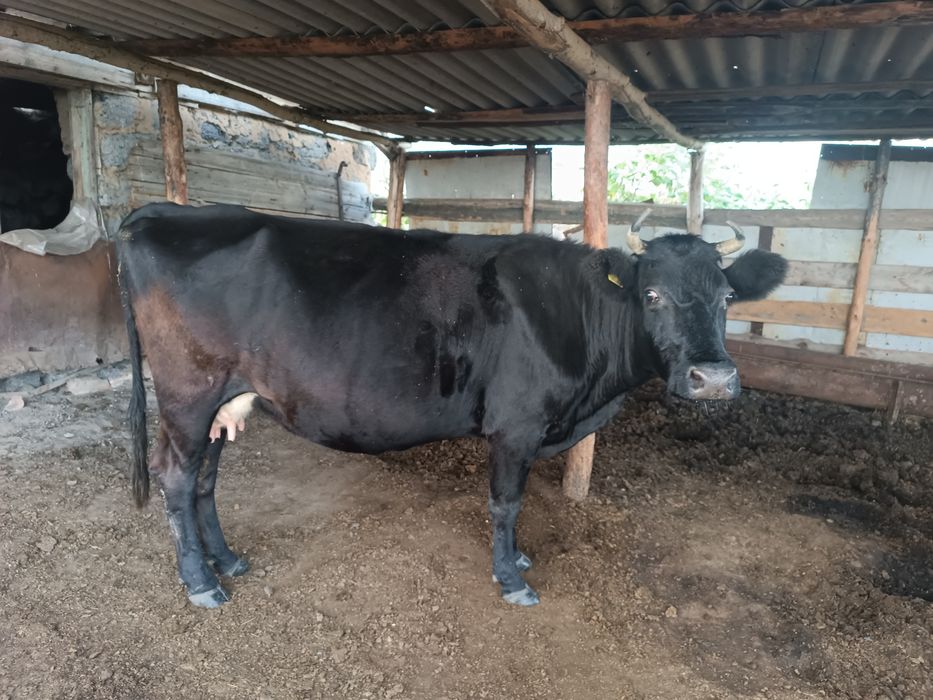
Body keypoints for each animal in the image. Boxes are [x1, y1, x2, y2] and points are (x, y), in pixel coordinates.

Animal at [118, 203, 787, 609]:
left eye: (728, 295)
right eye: (652, 294)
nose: (713, 379)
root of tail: (165, 211)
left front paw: (518, 557)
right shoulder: (516, 424)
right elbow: (506, 503)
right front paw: (511, 576)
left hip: (227, 398)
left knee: (205, 477)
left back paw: (226, 561)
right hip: (188, 391)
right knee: (177, 477)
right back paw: (200, 582)